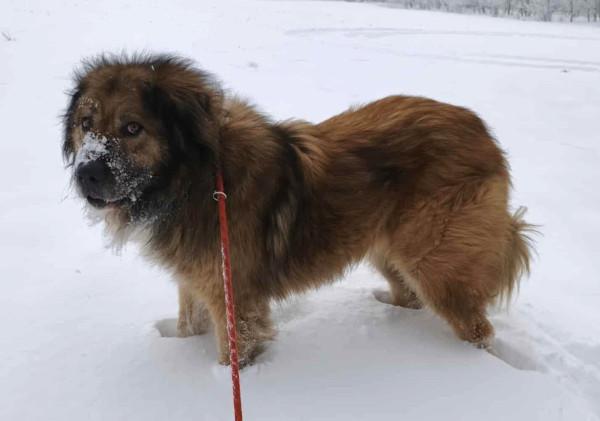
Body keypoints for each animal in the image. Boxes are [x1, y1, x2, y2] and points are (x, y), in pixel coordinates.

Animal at [63, 54, 534, 366]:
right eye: (87, 124)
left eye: (132, 128)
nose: (86, 174)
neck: (195, 176)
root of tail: (481, 132)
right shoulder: (194, 283)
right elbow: (187, 326)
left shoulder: (234, 297)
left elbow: (233, 354)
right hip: (388, 251)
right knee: (410, 297)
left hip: (435, 263)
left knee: (478, 329)